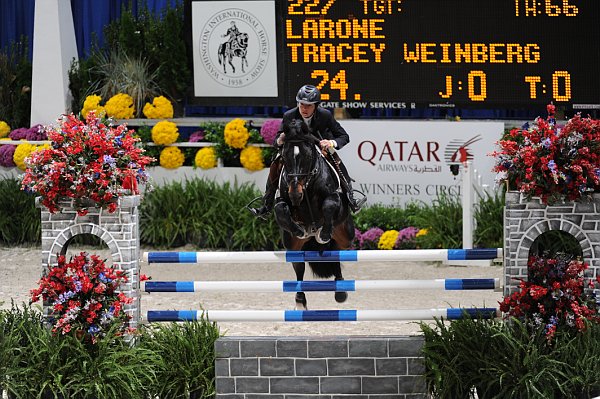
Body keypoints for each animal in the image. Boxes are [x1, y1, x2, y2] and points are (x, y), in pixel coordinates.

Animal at [274, 120, 356, 310]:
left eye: (307, 156)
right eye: (285, 157)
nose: (295, 194)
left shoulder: (335, 199)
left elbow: (329, 205)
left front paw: (323, 234)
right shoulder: (282, 201)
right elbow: (281, 209)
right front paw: (299, 229)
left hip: (345, 236)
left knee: (336, 254)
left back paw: (340, 291)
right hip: (293, 247)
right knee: (299, 268)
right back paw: (300, 301)